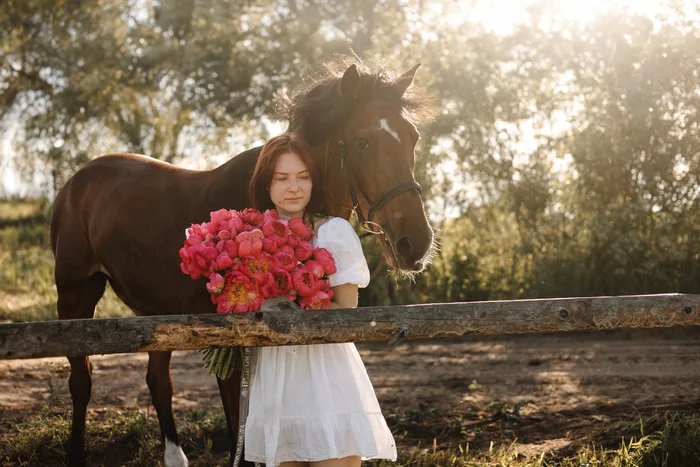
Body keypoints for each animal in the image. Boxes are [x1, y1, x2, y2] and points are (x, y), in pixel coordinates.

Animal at [50, 62, 432, 467]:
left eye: (413, 137)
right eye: (362, 141)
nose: (417, 242)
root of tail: (76, 180)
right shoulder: (232, 348)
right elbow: (238, 428)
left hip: (152, 313)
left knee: (158, 382)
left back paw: (175, 456)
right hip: (75, 296)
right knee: (81, 381)